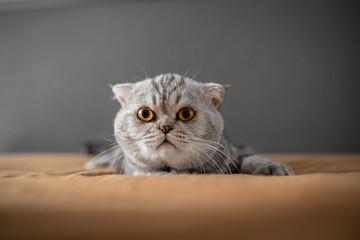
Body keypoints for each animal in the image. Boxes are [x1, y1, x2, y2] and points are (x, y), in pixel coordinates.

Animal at [86, 73, 294, 176]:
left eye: (186, 114)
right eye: (145, 114)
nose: (165, 127)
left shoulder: (236, 151)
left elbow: (254, 158)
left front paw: (273, 167)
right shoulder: (138, 170)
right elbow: (155, 174)